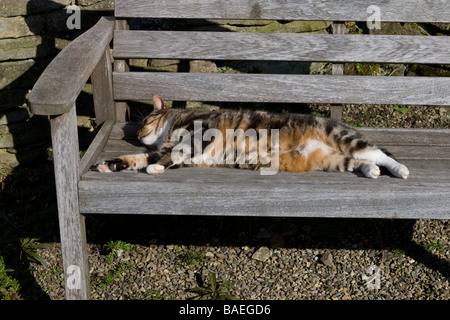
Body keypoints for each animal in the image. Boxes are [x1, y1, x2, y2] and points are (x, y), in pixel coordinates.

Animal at [96, 95, 410, 180]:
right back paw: (371, 171)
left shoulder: (202, 131)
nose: (137, 133)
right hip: (330, 160)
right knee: (357, 162)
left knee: (377, 153)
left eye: (145, 121)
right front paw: (110, 165)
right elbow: (137, 158)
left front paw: (156, 166)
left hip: (341, 136)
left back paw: (399, 169)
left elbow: (171, 152)